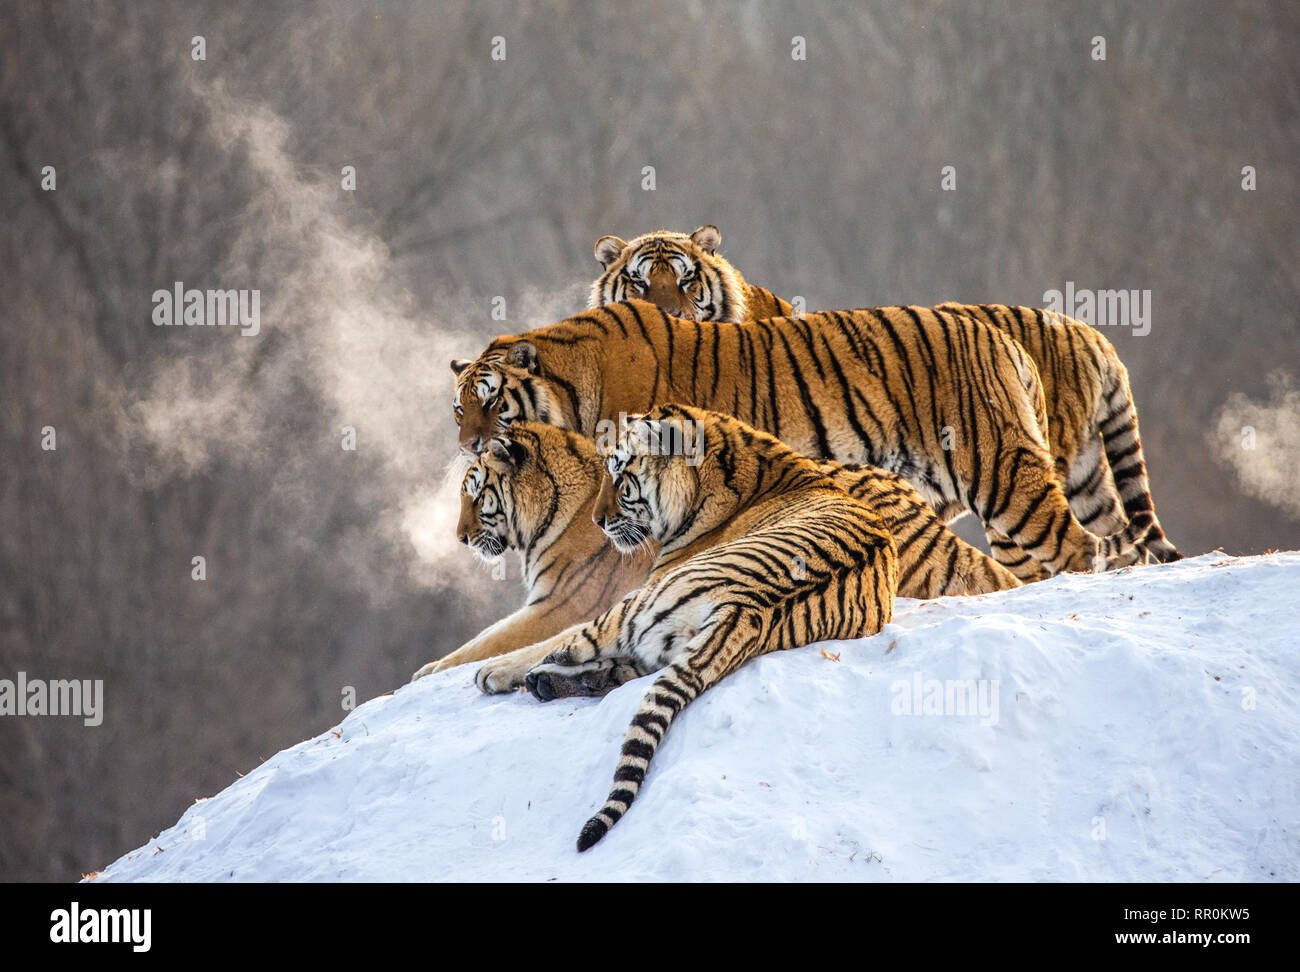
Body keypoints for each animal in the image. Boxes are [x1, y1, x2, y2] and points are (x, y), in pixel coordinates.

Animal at [408, 426, 655, 680]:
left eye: (477, 497)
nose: (460, 538)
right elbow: (484, 633)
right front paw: (430, 667)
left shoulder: (558, 606)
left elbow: (491, 641)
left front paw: (432, 670)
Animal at [452, 300, 1154, 582]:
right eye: (458, 410)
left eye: (491, 402)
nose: (467, 446)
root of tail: (1008, 340)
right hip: (1066, 480)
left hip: (1005, 475)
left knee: (1077, 549)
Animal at [478, 402, 904, 852]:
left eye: (620, 477)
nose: (597, 521)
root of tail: (745, 608)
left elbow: (550, 638)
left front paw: (493, 670)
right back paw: (549, 682)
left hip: (638, 602)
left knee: (574, 645)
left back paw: (529, 675)